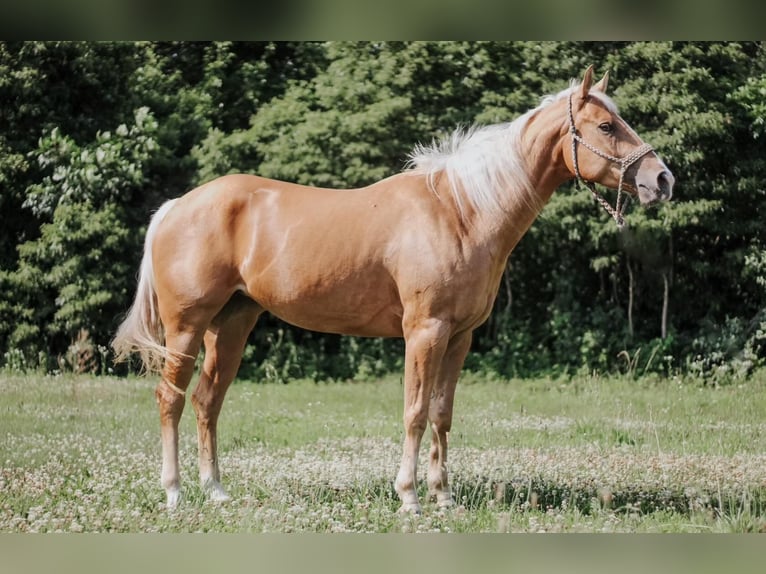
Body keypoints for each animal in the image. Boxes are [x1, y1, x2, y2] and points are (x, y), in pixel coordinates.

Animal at [112, 66, 674, 513]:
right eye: (607, 126)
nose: (663, 179)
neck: (461, 212)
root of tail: (176, 207)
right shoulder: (424, 332)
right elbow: (415, 411)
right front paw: (409, 498)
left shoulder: (459, 337)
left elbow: (443, 414)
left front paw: (444, 497)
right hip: (186, 329)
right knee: (170, 398)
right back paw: (175, 492)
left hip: (231, 324)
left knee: (208, 400)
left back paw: (216, 491)